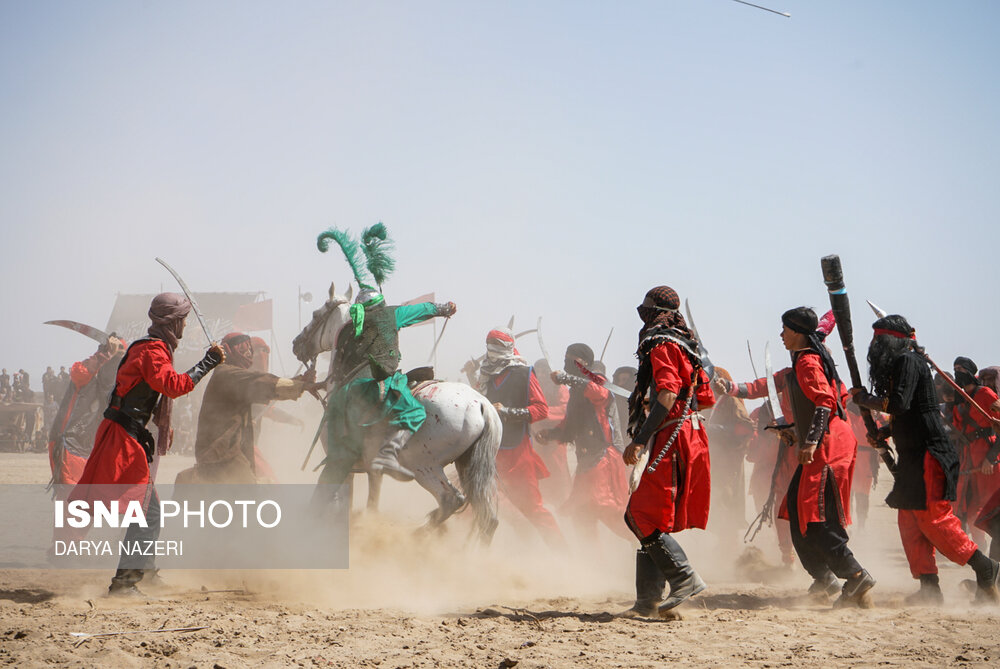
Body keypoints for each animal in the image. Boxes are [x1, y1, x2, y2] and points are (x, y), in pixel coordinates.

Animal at [292, 284, 504, 544]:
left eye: (315, 315)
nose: (297, 343)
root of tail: (482, 406)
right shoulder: (372, 468)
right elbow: (370, 502)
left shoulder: (339, 458)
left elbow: (329, 494)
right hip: (469, 467)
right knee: (488, 519)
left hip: (425, 466)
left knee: (450, 500)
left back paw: (417, 535)